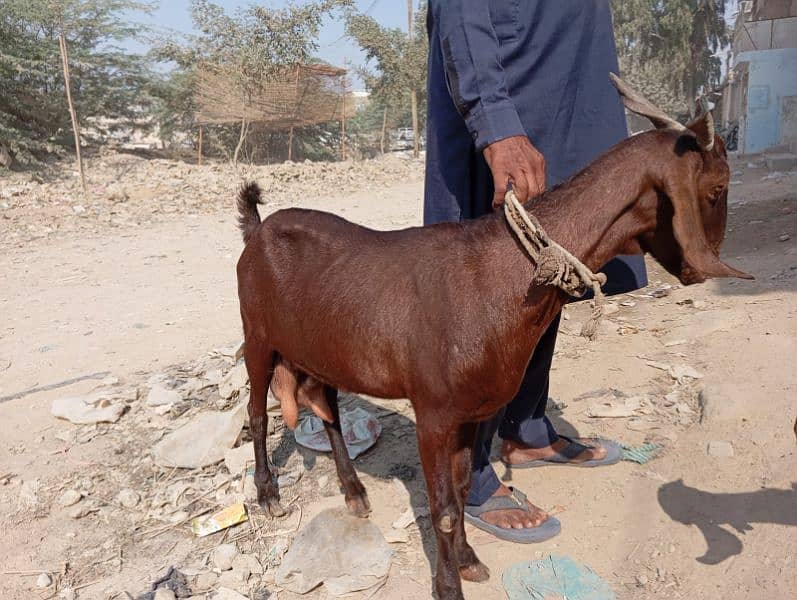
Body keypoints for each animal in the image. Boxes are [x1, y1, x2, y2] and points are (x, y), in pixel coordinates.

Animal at [233, 81, 748, 600]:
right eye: (717, 188)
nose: (699, 268)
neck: (504, 275)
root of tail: (257, 229)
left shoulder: (472, 411)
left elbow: (461, 493)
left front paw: (467, 559)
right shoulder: (434, 413)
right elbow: (441, 508)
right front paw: (448, 586)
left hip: (319, 347)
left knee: (327, 408)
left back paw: (355, 492)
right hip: (257, 335)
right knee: (257, 414)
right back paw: (269, 493)